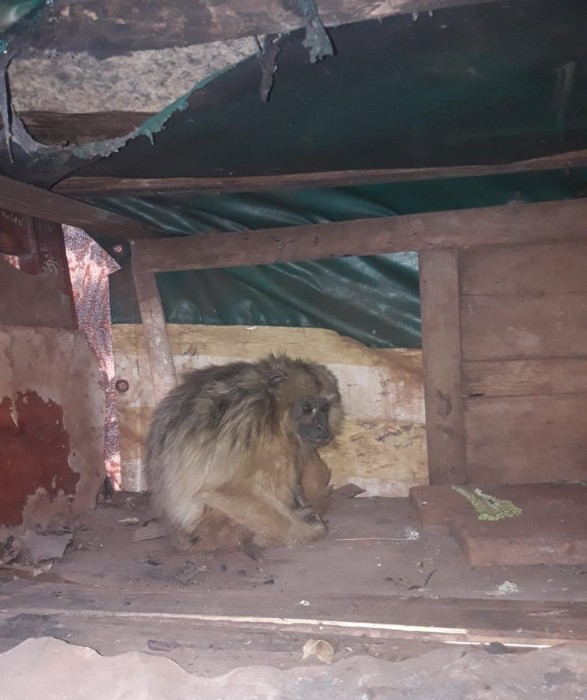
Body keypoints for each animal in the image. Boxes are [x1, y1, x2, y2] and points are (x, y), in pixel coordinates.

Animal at [144, 353, 343, 555]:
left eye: (324, 408)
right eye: (306, 408)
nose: (321, 428)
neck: (273, 409)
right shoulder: (251, 417)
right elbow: (228, 487)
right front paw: (305, 531)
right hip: (212, 522)